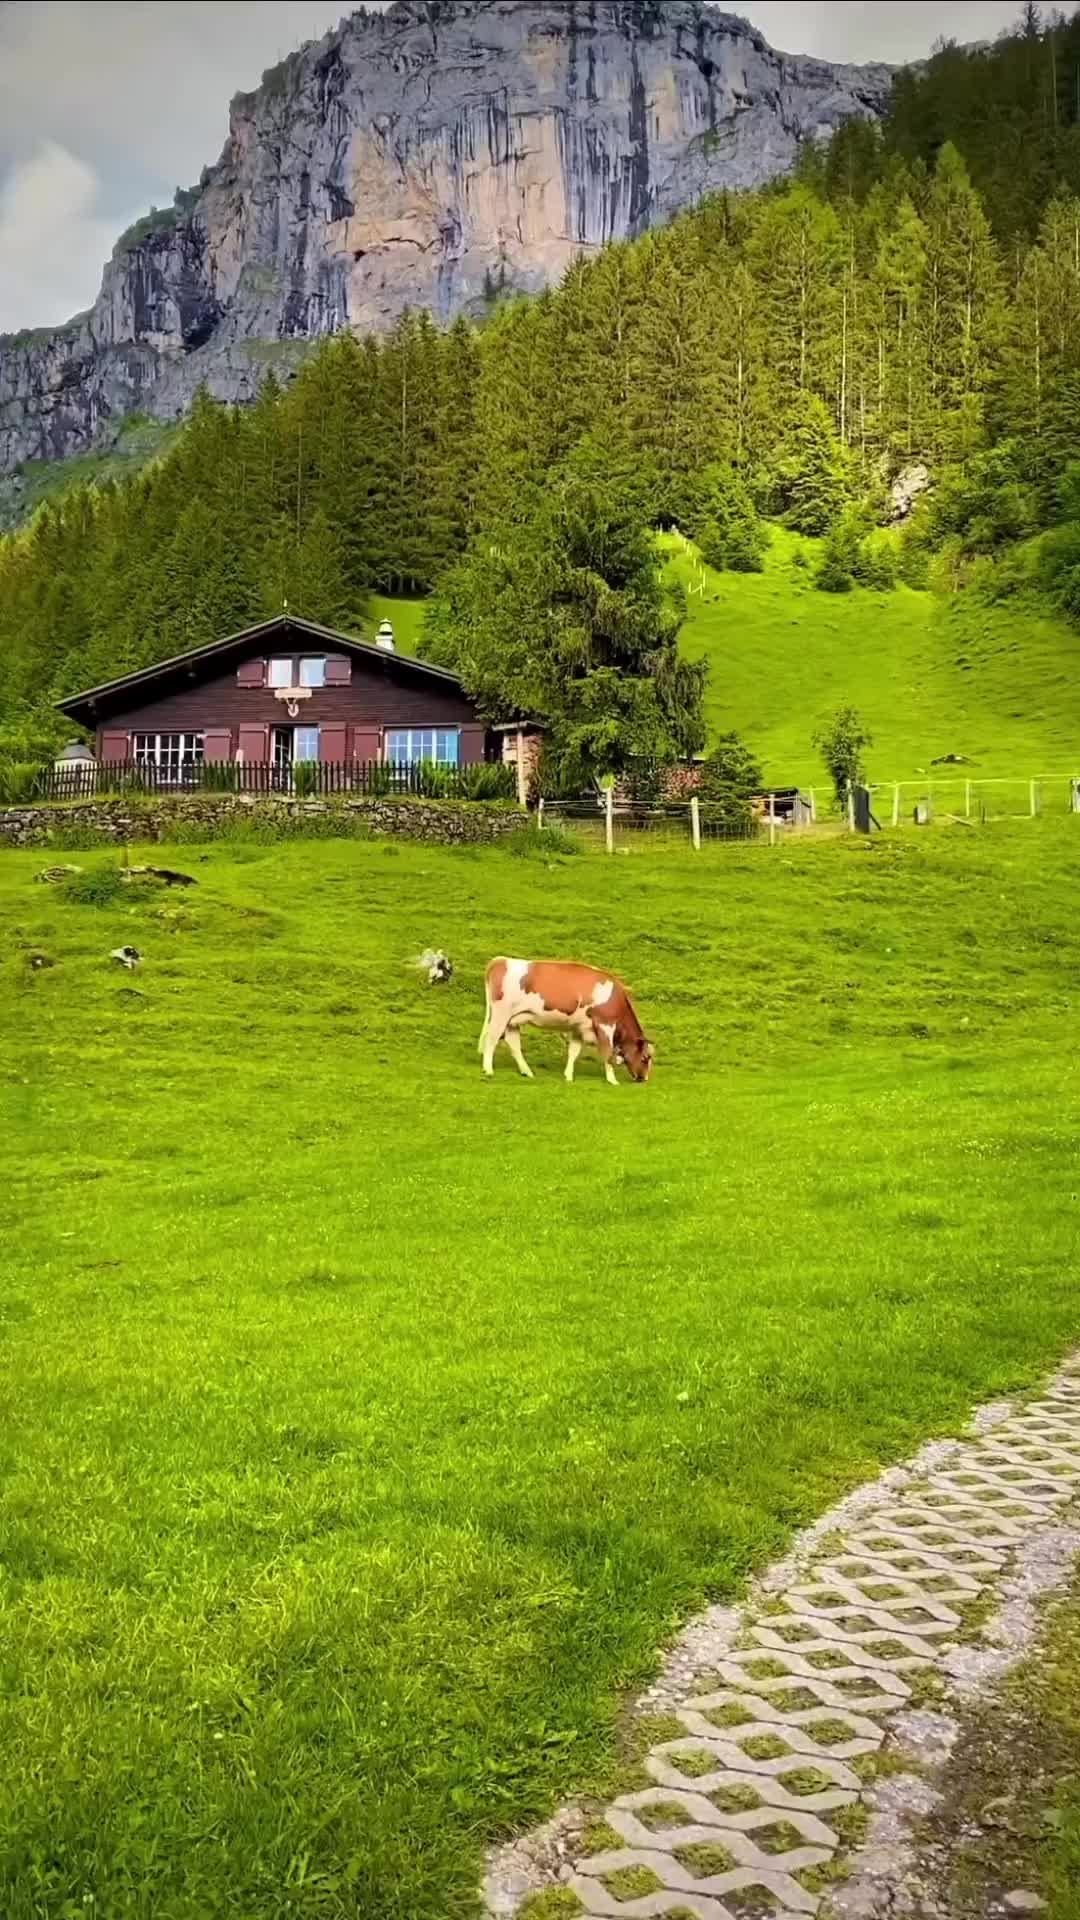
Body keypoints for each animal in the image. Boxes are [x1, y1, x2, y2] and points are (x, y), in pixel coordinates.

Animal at [476, 956, 645, 1082]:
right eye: (645, 1058)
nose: (644, 1078)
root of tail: (500, 960)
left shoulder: (579, 1027)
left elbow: (574, 1051)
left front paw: (568, 1076)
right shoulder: (605, 1024)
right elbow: (608, 1052)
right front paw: (612, 1080)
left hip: (513, 1019)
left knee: (513, 1043)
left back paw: (527, 1071)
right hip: (501, 1014)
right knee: (492, 1038)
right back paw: (488, 1069)